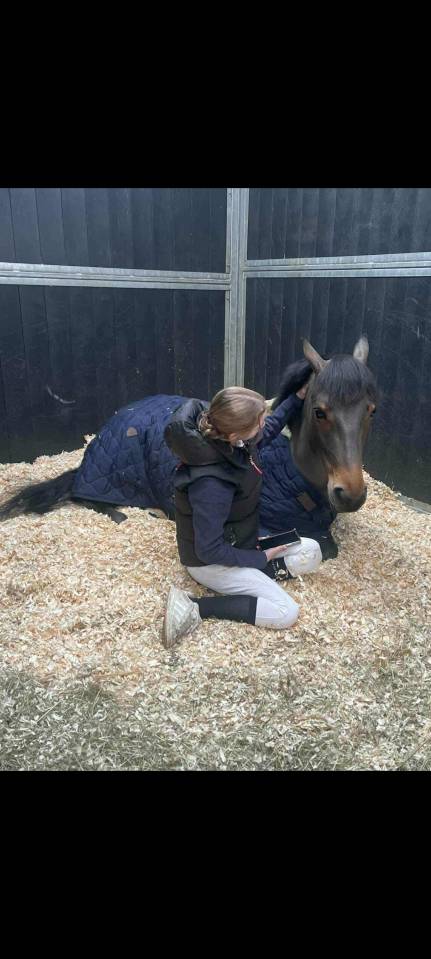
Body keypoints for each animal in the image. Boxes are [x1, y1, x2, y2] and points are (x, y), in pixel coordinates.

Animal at [0, 337, 378, 561]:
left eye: (371, 410)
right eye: (320, 412)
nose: (351, 494)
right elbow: (326, 547)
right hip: (109, 479)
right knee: (90, 498)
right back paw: (132, 514)